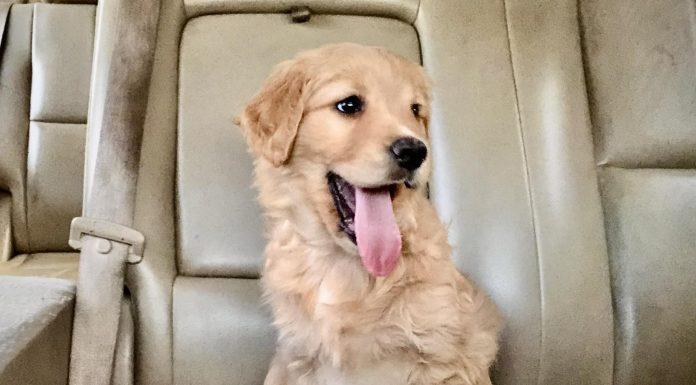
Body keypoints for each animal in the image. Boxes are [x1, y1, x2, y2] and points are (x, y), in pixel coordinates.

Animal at [239, 42, 500, 384]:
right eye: (349, 104)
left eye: (414, 110)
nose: (415, 151)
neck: (342, 264)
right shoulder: (296, 355)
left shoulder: (444, 359)